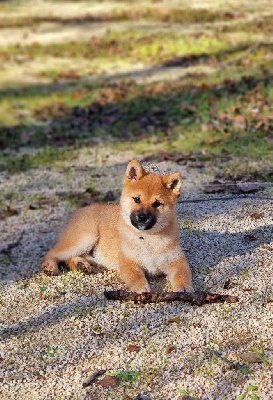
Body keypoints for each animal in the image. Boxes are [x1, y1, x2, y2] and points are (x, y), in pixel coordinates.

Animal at [41, 159, 192, 294]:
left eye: (157, 204)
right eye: (136, 199)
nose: (142, 217)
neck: (148, 239)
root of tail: (75, 212)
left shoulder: (177, 261)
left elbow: (183, 274)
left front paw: (184, 287)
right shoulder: (128, 263)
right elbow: (136, 278)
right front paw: (141, 289)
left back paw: (81, 264)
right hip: (85, 238)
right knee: (52, 253)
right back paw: (50, 266)